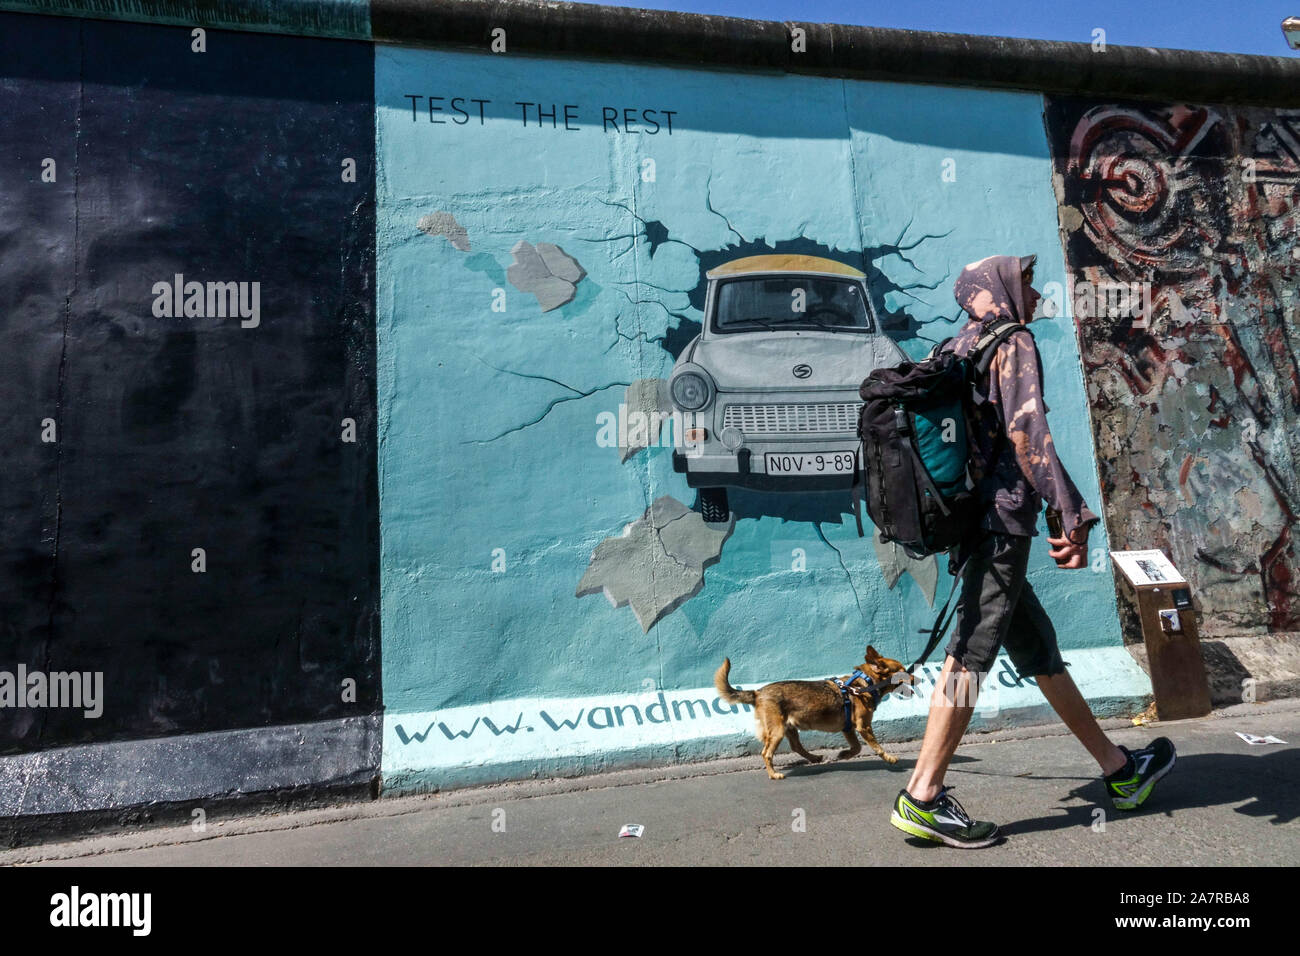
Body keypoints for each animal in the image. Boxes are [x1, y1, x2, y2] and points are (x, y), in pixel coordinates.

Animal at [722, 647, 915, 780]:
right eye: (903, 671)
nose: (915, 679)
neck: (865, 683)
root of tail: (757, 692)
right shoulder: (864, 727)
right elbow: (877, 747)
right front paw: (889, 758)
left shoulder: (848, 729)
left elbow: (857, 747)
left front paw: (844, 754)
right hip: (777, 731)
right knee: (766, 753)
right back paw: (774, 774)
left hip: (789, 728)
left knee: (796, 746)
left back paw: (814, 757)